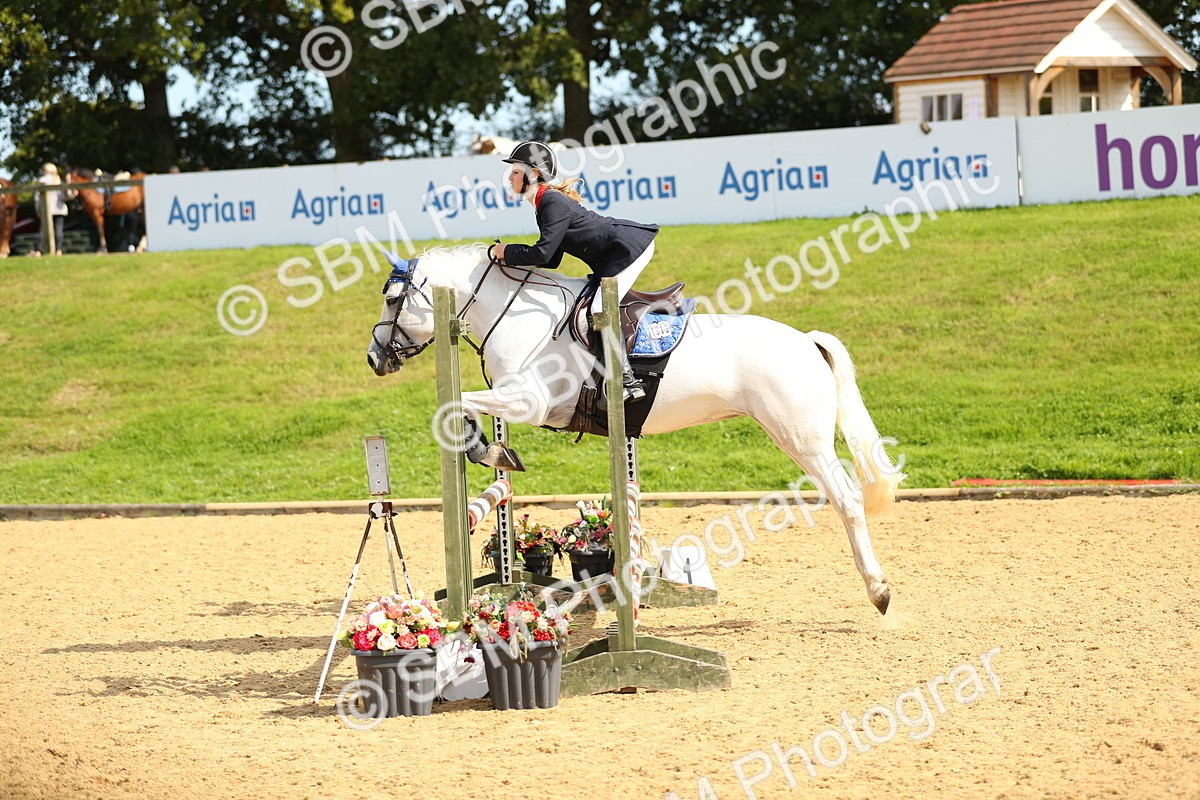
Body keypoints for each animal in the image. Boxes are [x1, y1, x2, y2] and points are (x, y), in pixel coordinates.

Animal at [365, 245, 905, 614]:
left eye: (391, 299)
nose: (374, 359)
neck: (517, 317)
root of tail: (808, 341)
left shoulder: (530, 400)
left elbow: (455, 405)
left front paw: (487, 451)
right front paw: (496, 453)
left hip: (800, 439)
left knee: (847, 498)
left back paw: (879, 591)